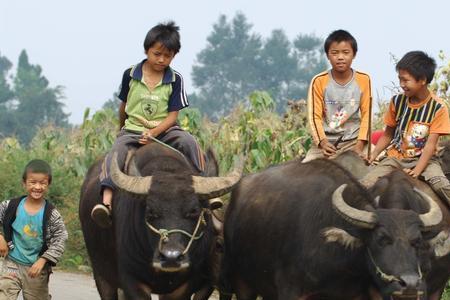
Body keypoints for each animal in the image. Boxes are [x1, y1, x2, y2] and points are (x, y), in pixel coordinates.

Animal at [80, 143, 243, 300]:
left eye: (194, 211)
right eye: (150, 212)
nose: (171, 257)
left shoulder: (187, 285)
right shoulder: (131, 280)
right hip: (101, 273)